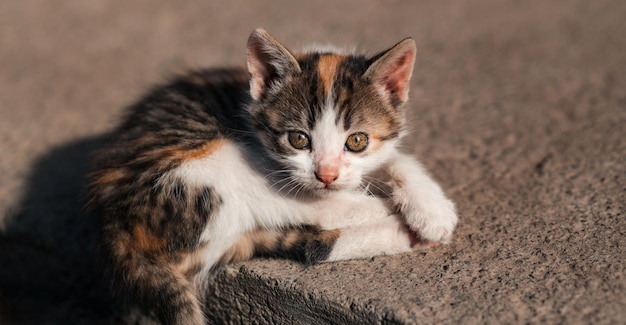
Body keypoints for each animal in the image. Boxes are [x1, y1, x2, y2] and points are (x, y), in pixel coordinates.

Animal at [85, 29, 456, 322]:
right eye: (298, 139)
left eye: (357, 141)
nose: (327, 174)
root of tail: (115, 231)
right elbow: (317, 198)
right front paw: (404, 208)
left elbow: (394, 159)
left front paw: (432, 211)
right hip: (204, 167)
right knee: (309, 208)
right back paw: (389, 216)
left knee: (311, 245)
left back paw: (404, 234)